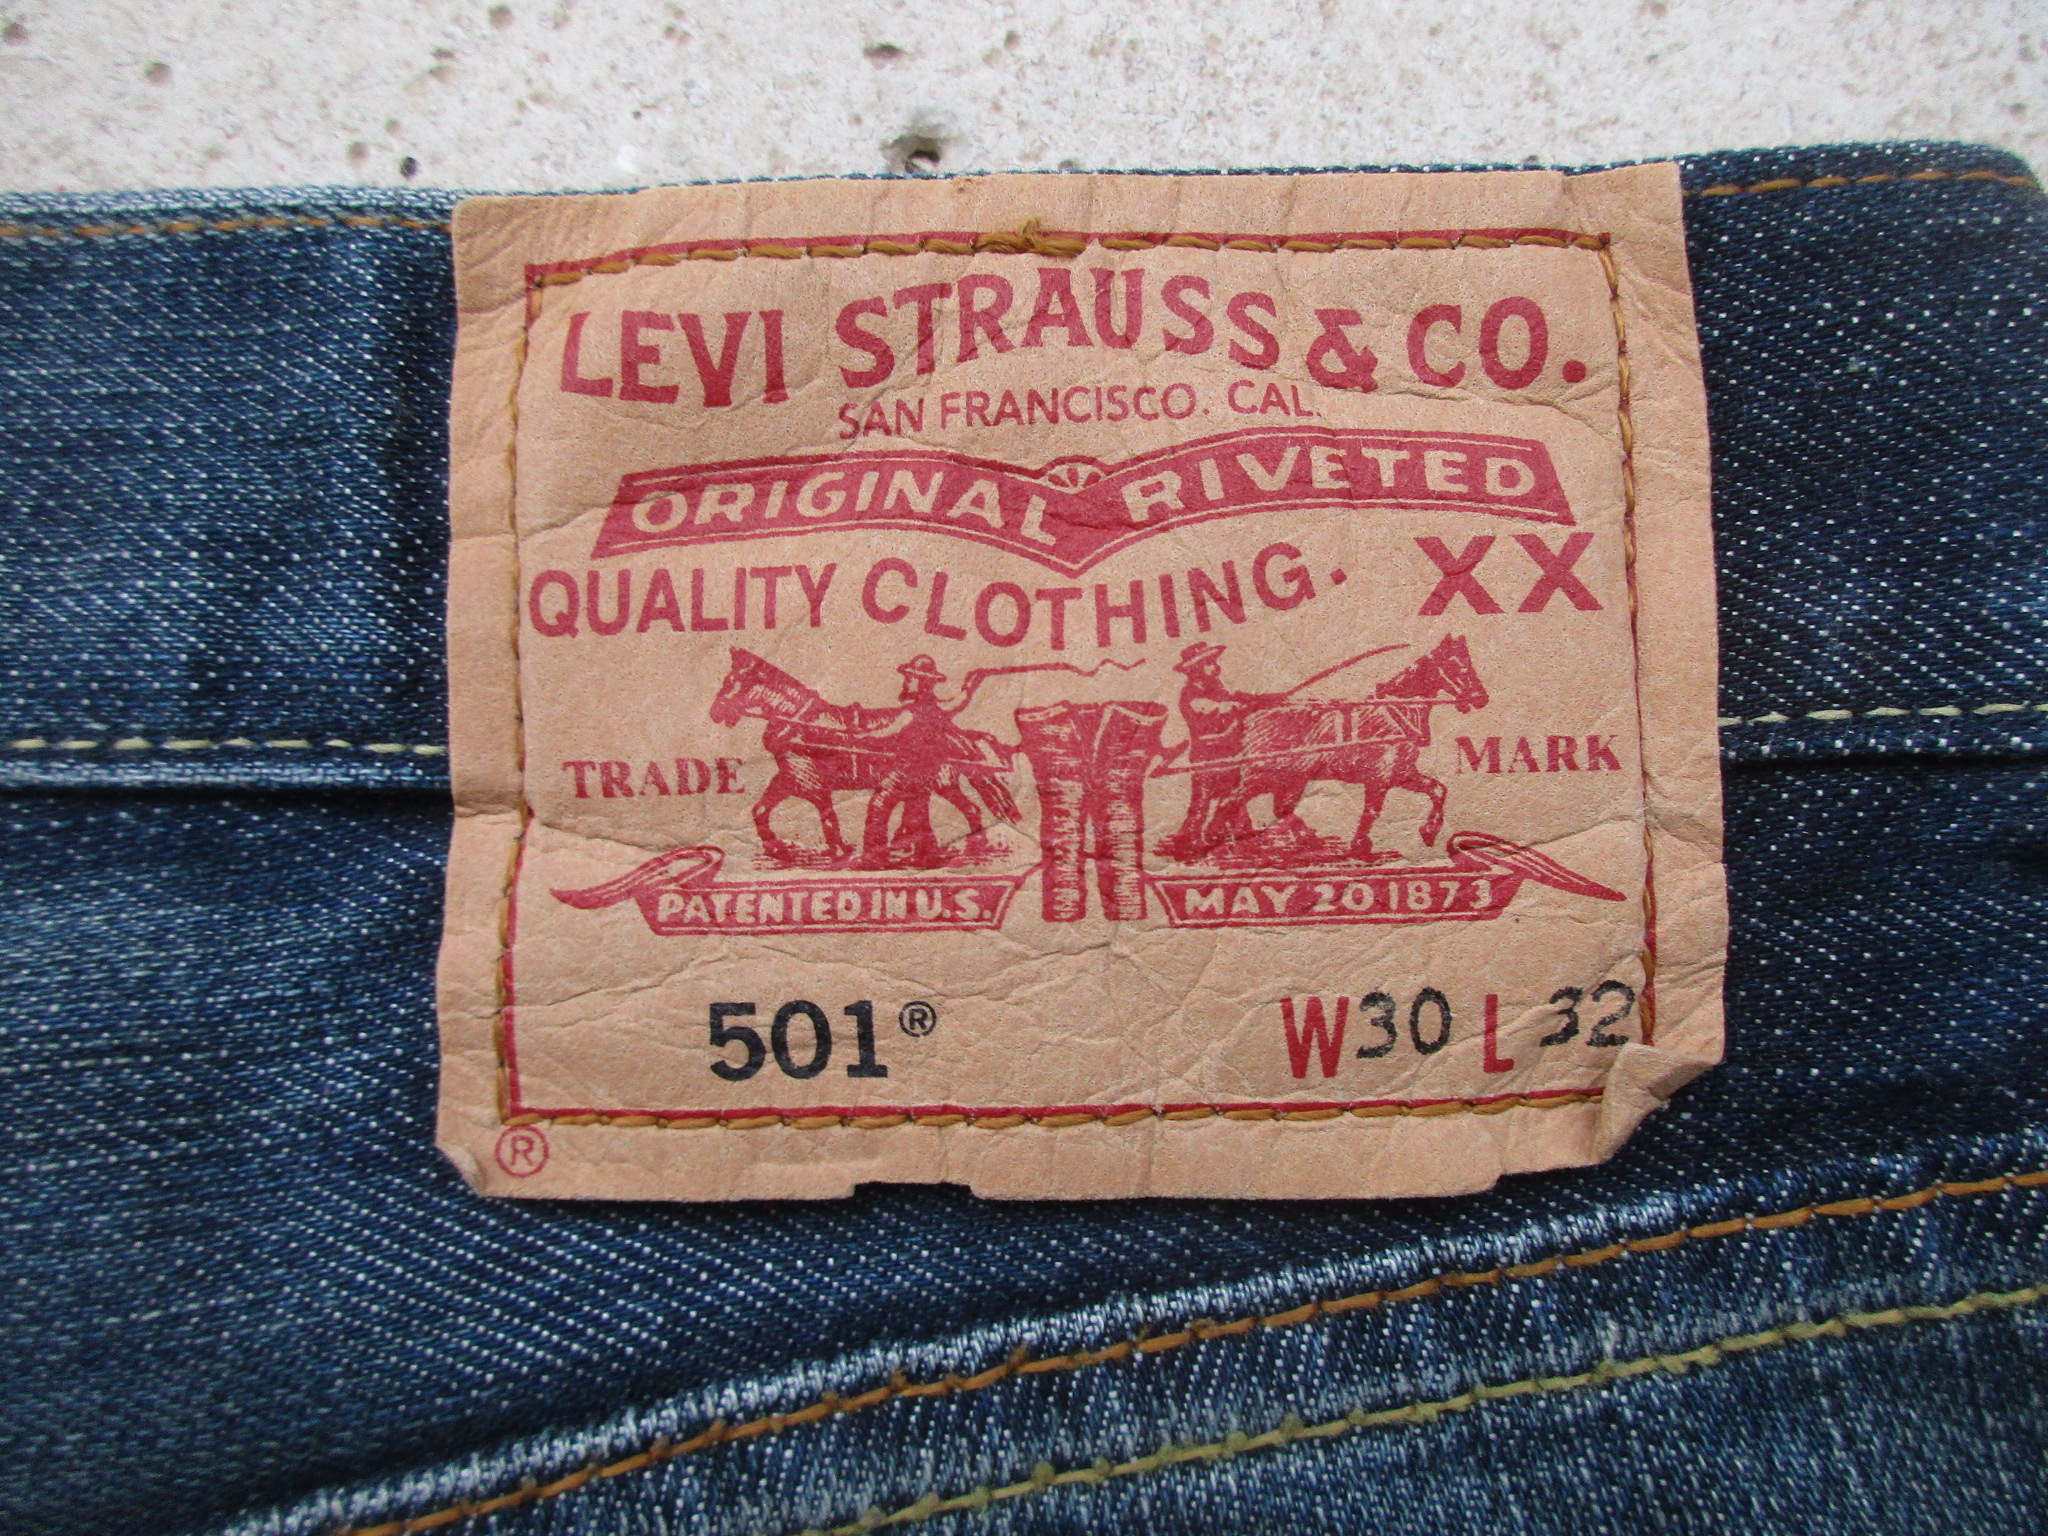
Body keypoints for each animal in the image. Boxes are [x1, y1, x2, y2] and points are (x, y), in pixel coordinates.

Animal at [709, 648, 1019, 864]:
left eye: (730, 681)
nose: (715, 713)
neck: (798, 722)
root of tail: (955, 733)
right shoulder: (790, 776)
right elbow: (761, 808)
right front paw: (776, 847)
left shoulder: (812, 782)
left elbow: (827, 815)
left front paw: (840, 851)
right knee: (961, 810)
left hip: (939, 782)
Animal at [1173, 634, 1489, 864]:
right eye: (1459, 667)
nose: (1481, 698)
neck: (1394, 714)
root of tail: (1252, 718)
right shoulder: (1379, 778)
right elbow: (1372, 811)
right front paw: (1361, 848)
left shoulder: (1401, 773)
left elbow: (1438, 789)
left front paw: (1428, 831)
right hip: (1264, 775)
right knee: (1229, 802)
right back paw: (1214, 844)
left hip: (1289, 778)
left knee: (1267, 806)